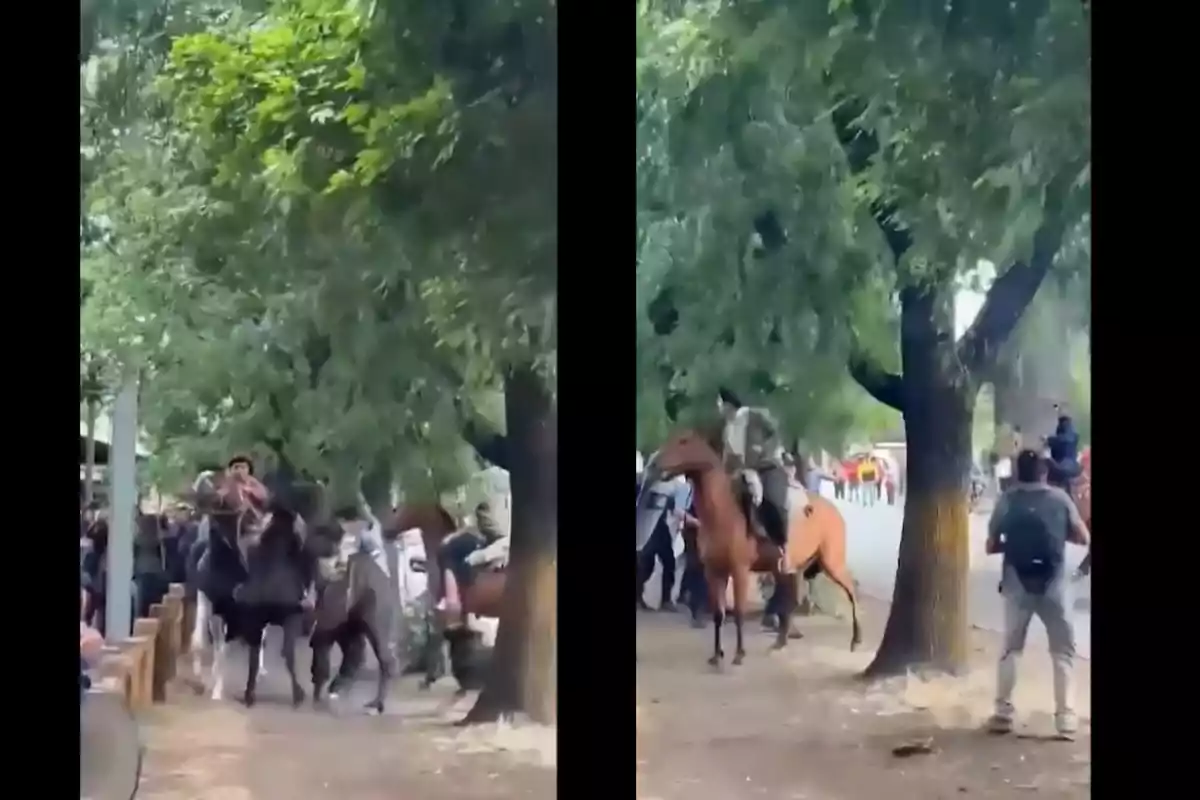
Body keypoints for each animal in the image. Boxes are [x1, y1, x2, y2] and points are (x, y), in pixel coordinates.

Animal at [652, 429, 859, 666]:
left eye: (683, 442)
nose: (655, 462)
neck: (723, 514)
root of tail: (835, 513)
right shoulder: (714, 572)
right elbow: (719, 613)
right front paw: (717, 655)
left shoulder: (739, 571)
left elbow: (739, 612)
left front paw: (739, 654)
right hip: (790, 569)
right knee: (791, 601)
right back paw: (780, 642)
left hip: (832, 562)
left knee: (850, 590)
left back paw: (855, 640)